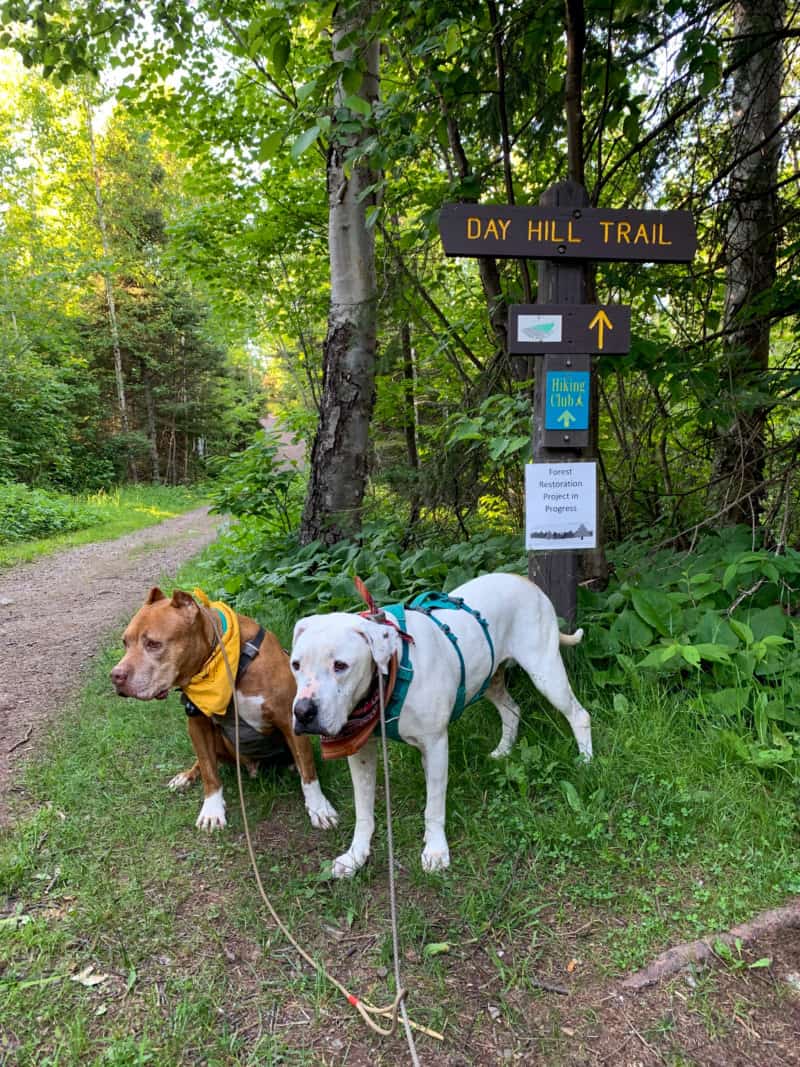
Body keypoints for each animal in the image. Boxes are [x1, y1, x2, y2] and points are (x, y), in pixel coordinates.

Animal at [110, 588, 339, 827]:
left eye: (153, 644)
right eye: (125, 643)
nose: (116, 676)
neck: (228, 662)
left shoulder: (288, 718)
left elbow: (308, 771)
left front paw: (319, 808)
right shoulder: (197, 724)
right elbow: (209, 770)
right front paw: (212, 810)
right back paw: (185, 776)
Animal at [292, 576, 593, 874]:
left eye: (340, 665)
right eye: (295, 665)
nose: (302, 712)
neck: (391, 675)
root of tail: (526, 581)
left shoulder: (435, 745)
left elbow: (434, 807)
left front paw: (436, 850)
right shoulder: (361, 752)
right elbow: (363, 811)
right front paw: (356, 855)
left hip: (546, 673)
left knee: (579, 715)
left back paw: (586, 760)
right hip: (489, 679)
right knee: (512, 711)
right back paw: (504, 750)